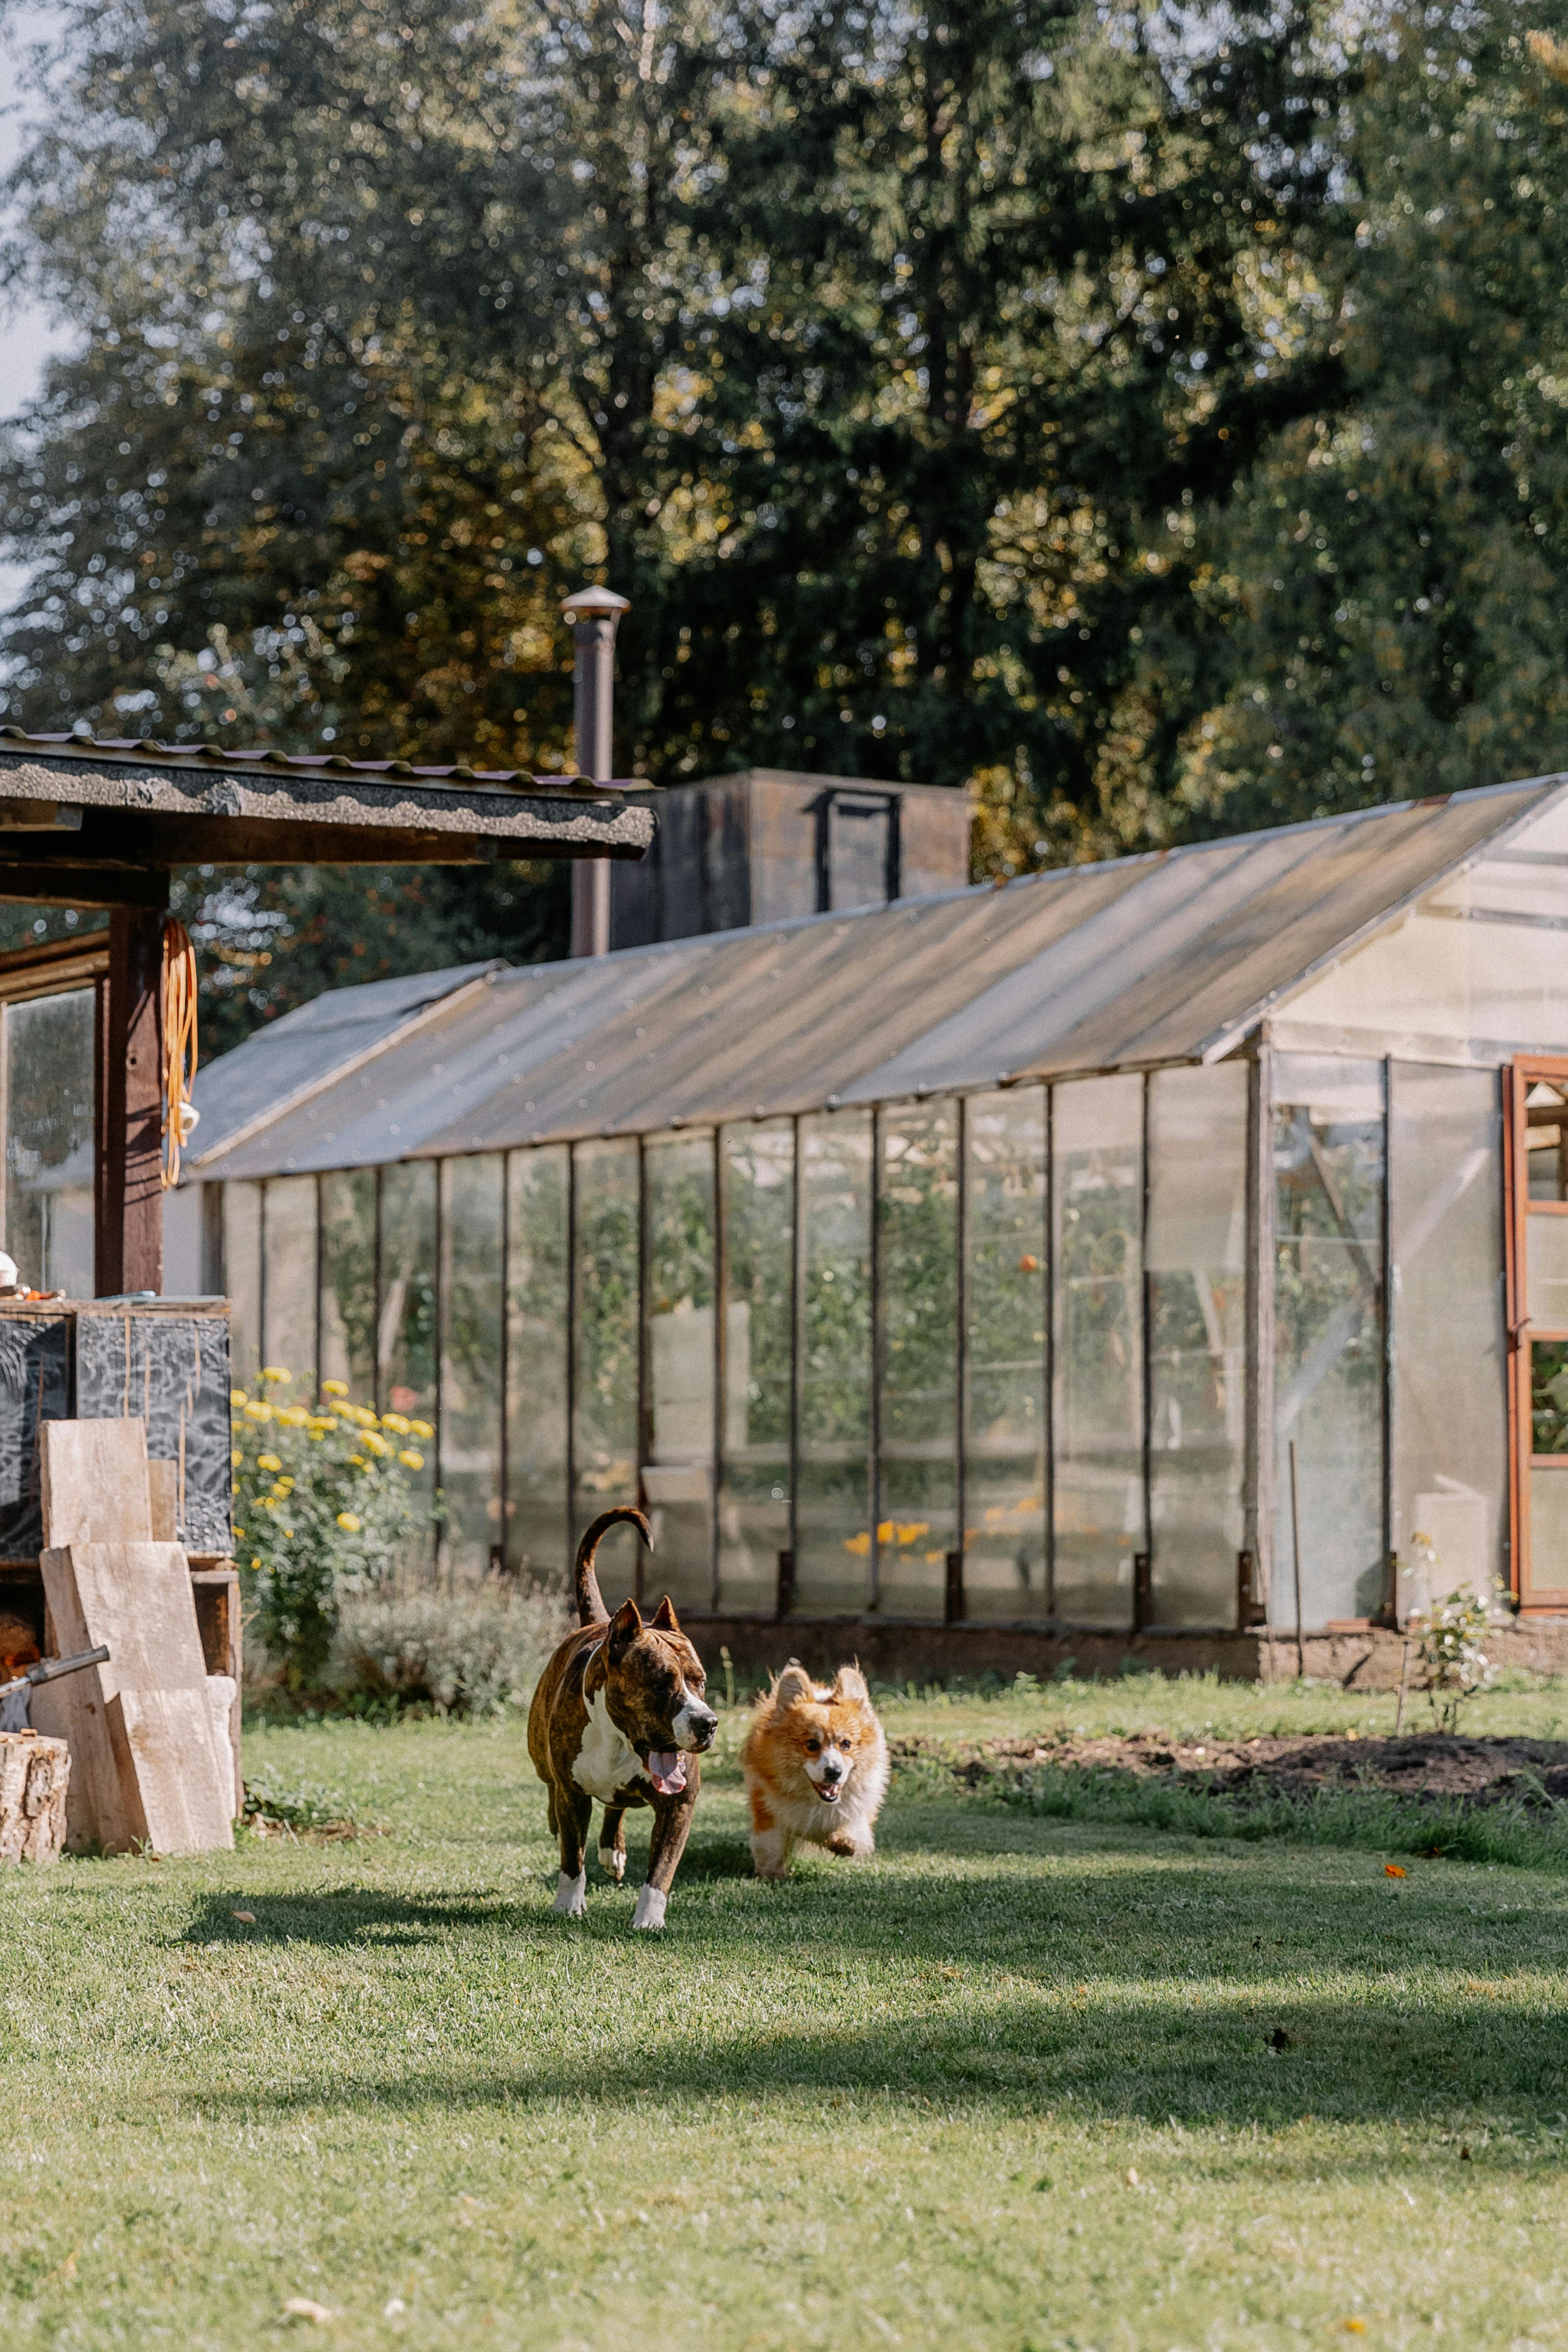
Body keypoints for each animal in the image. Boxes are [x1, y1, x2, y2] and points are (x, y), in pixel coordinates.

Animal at [531, 1505, 719, 1928]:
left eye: (699, 1680)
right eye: (662, 1683)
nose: (707, 1723)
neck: (619, 1739)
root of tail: (601, 1621)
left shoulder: (679, 1805)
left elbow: (661, 1868)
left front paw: (649, 1917)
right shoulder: (572, 1794)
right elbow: (572, 1857)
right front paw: (568, 1904)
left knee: (614, 1808)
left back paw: (612, 1850)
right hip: (540, 1759)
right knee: (552, 1793)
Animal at [743, 1665, 888, 1881]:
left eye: (846, 1744)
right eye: (812, 1744)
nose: (834, 1772)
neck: (818, 1803)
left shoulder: (858, 1808)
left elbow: (855, 1827)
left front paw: (844, 1842)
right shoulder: (768, 1810)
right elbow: (771, 1847)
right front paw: (772, 1875)